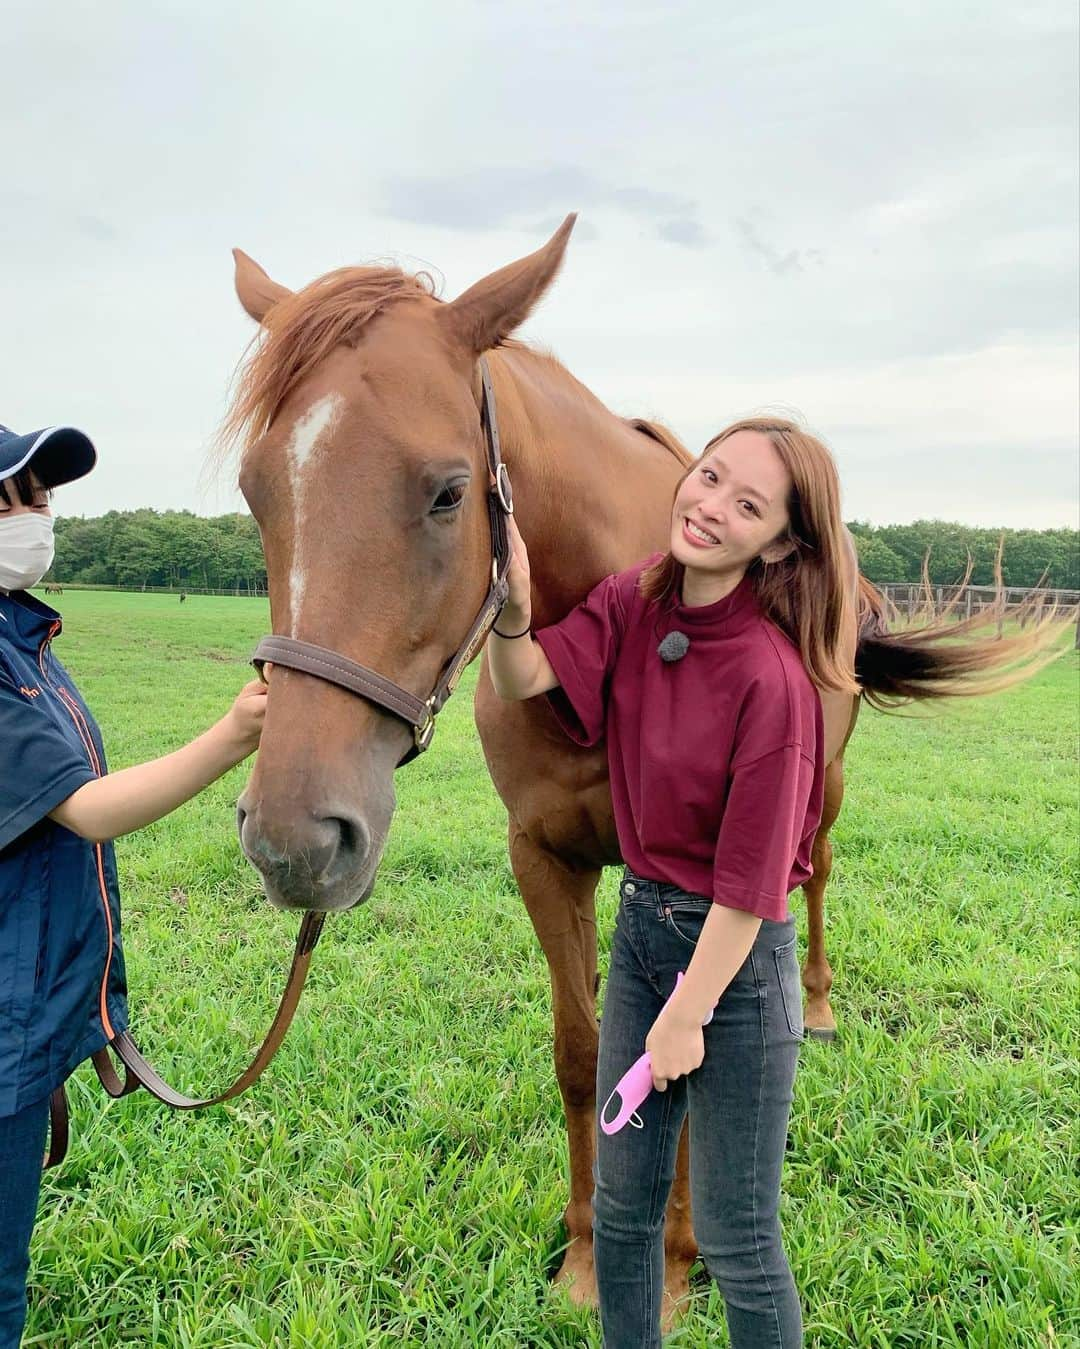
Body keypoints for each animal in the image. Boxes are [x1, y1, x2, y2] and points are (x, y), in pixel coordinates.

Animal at [221, 218, 1062, 1316]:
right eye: (256, 492)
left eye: (450, 491)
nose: (297, 839)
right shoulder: (545, 856)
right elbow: (586, 1053)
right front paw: (588, 1257)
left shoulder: (719, 874)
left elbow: (689, 1052)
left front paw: (672, 1265)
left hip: (821, 798)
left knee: (818, 879)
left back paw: (820, 1007)